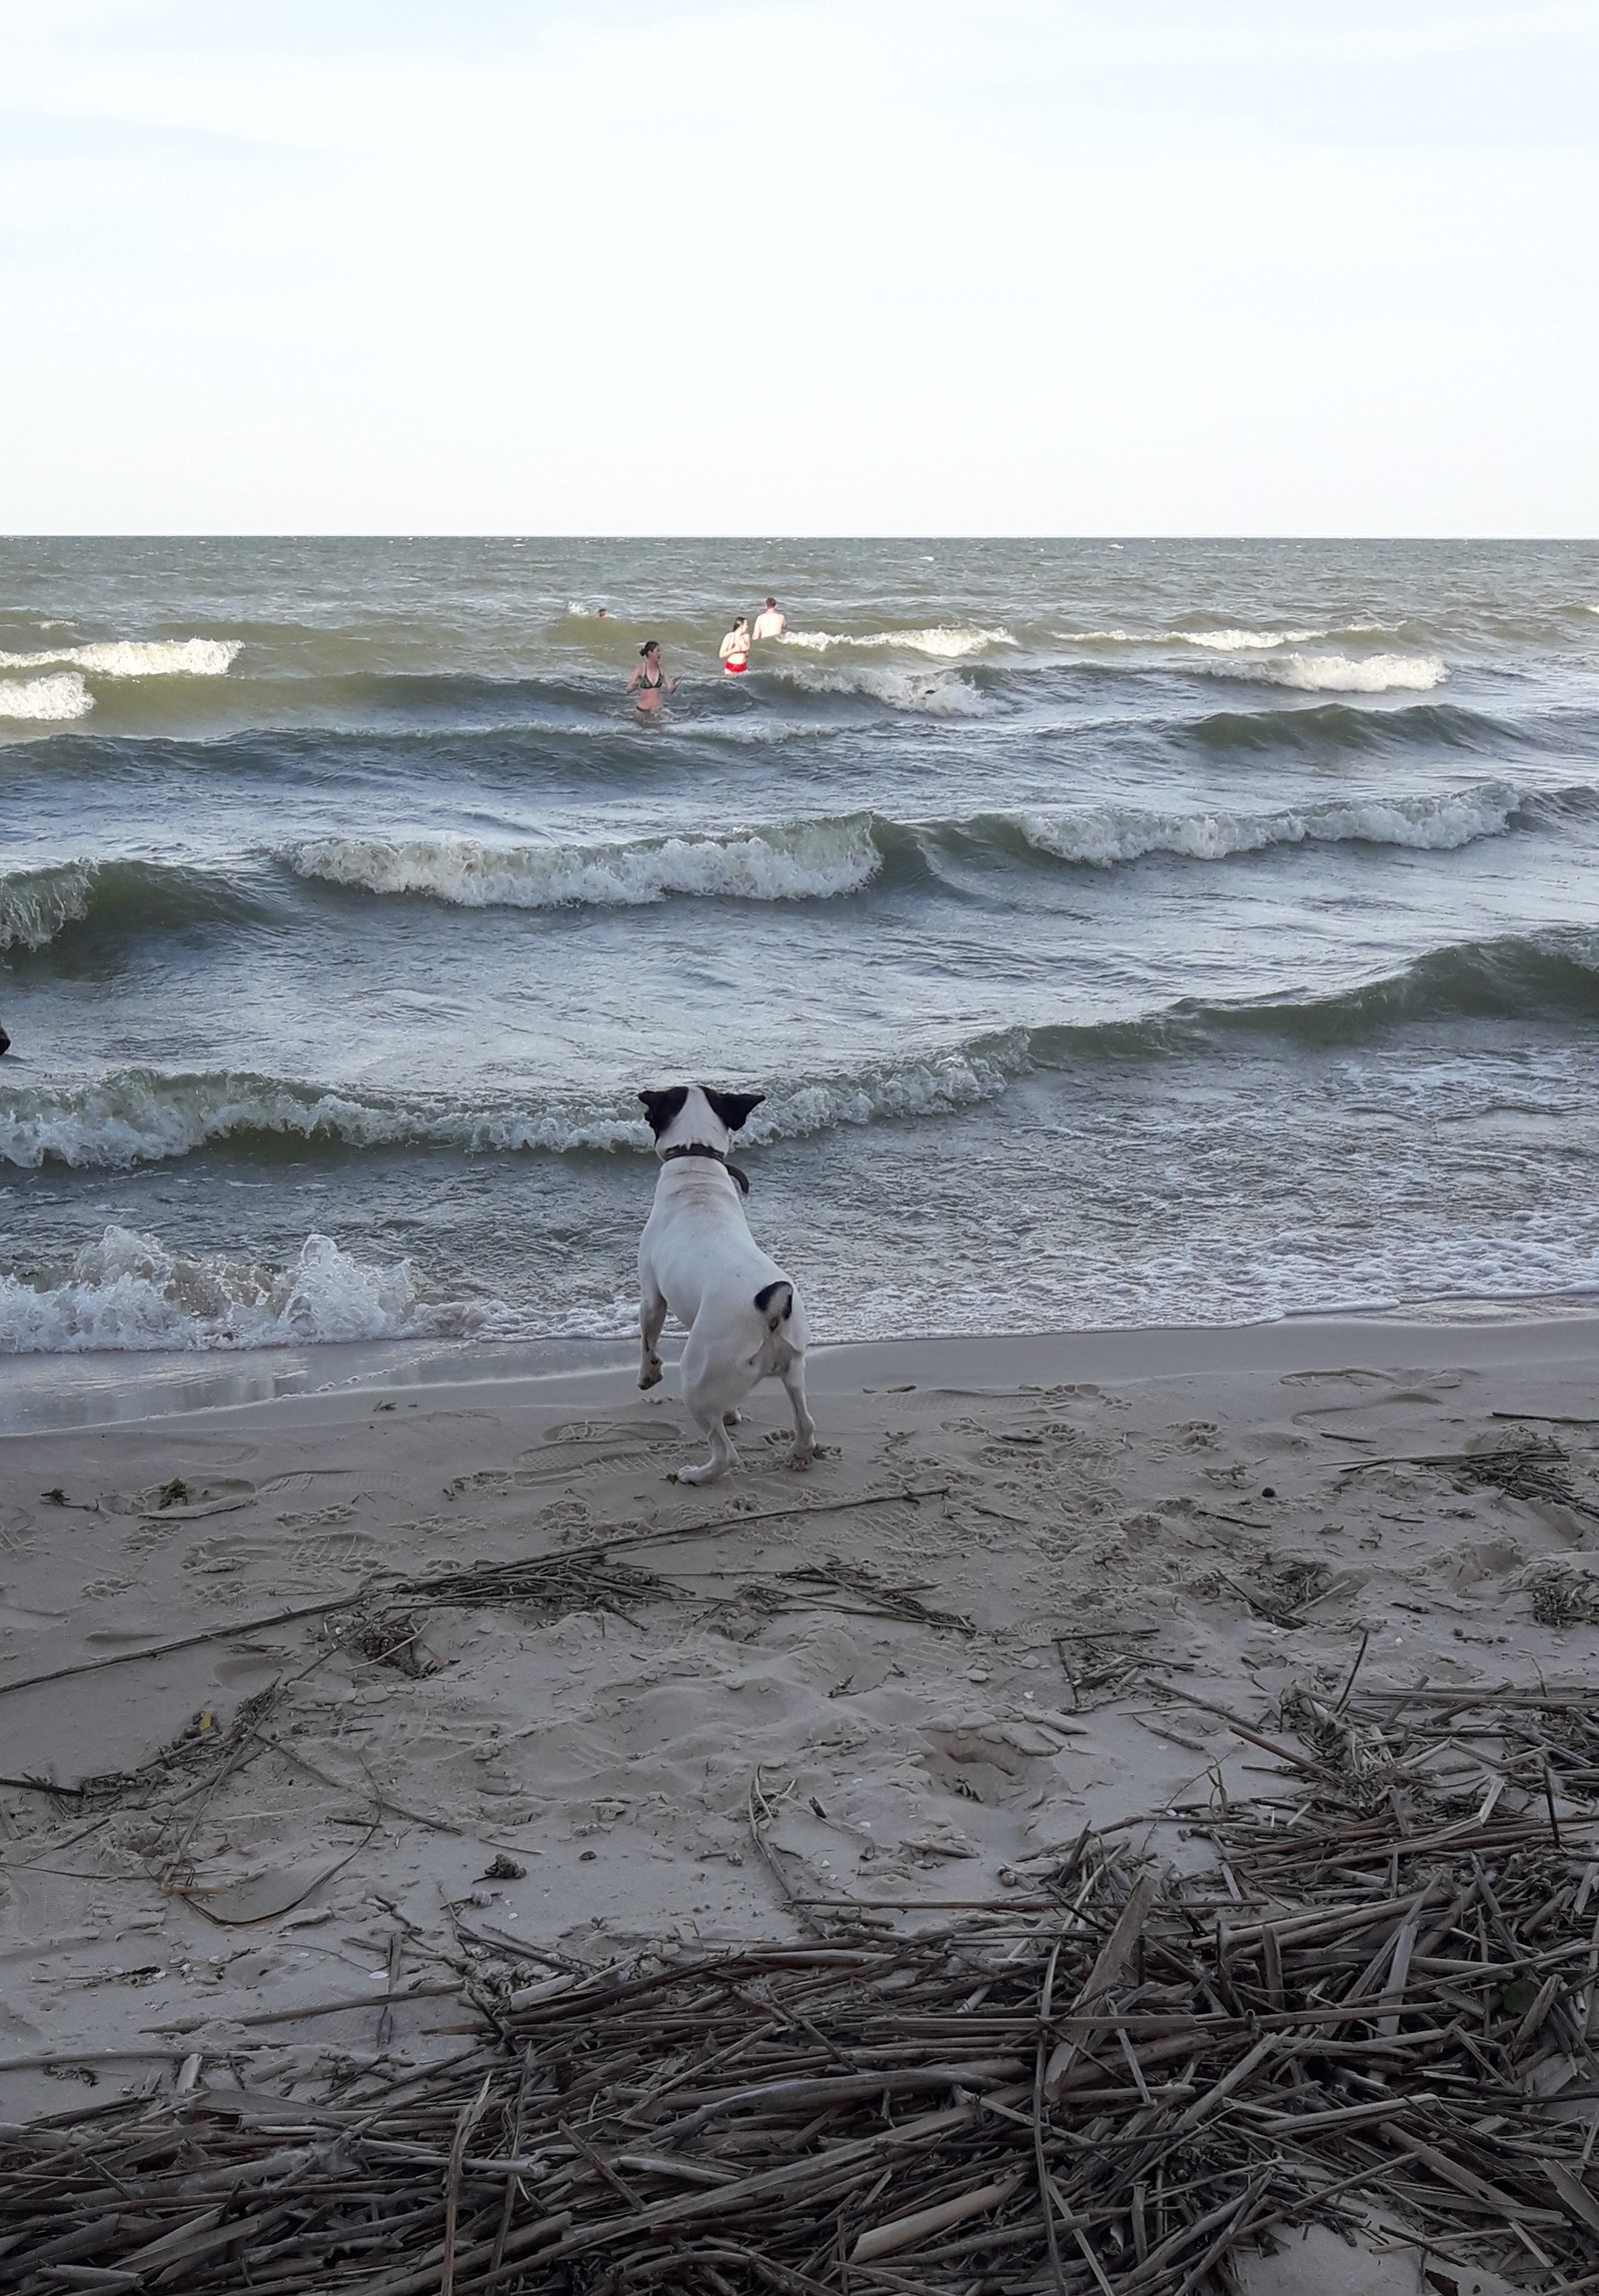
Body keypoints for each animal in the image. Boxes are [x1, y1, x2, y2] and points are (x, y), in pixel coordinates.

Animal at [633, 1079, 811, 1487]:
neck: (695, 1155)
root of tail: (770, 1306)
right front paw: (732, 1412)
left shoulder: (652, 1297)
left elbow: (648, 1339)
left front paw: (648, 1374)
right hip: (793, 1368)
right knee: (805, 1421)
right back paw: (799, 1452)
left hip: (695, 1378)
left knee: (725, 1452)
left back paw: (697, 1474)